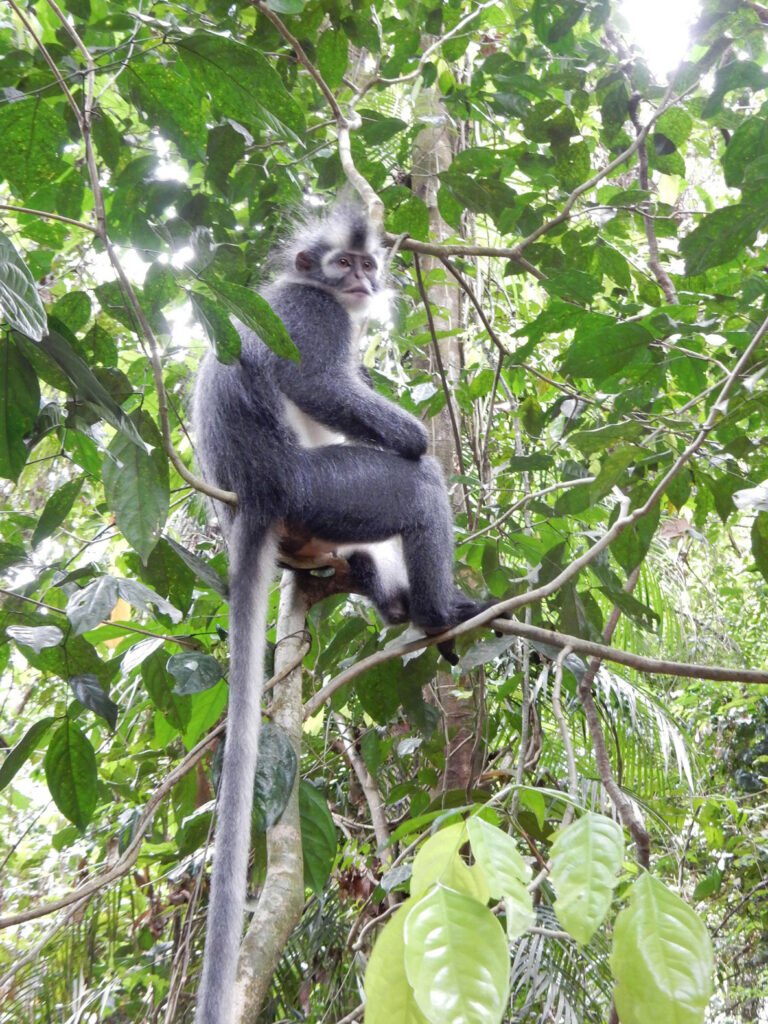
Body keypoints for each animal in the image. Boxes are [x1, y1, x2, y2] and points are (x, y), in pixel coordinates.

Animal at [190, 203, 496, 1023]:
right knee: (414, 485)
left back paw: (385, 597)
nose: (364, 281)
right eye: (344, 267)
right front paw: (417, 432)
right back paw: (435, 610)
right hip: (322, 487)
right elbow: (317, 382)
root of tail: (253, 494)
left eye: (368, 266)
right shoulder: (312, 312)